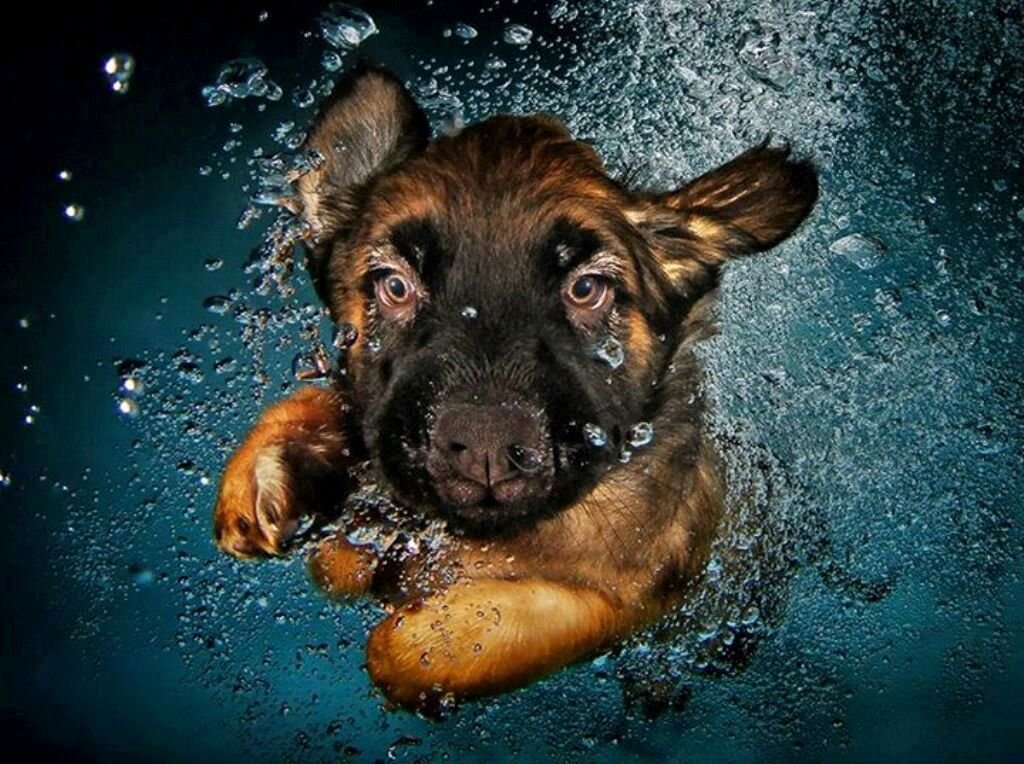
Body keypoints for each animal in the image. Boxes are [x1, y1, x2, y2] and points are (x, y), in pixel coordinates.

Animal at [214, 64, 815, 708]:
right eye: (394, 286)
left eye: (587, 289)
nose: (486, 448)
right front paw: (268, 468)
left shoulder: (639, 591)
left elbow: (420, 646)